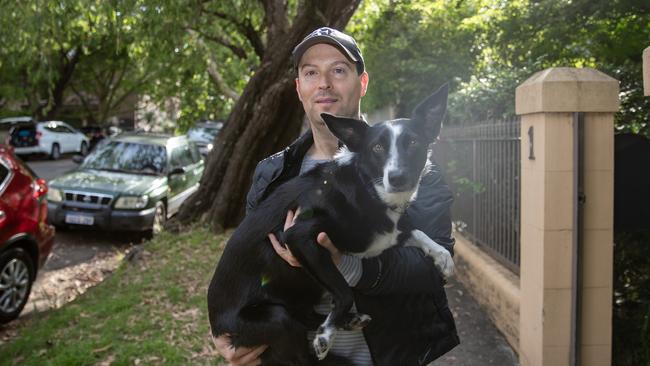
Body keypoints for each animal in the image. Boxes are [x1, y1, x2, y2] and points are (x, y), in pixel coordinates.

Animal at [208, 84, 450, 364]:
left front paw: (443, 257)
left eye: (413, 143)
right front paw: (325, 336)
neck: (368, 189)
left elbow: (417, 232)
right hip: (275, 318)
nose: (397, 178)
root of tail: (217, 326)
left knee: (304, 318)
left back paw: (347, 321)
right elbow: (345, 292)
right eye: (377, 148)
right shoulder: (298, 235)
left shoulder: (388, 233)